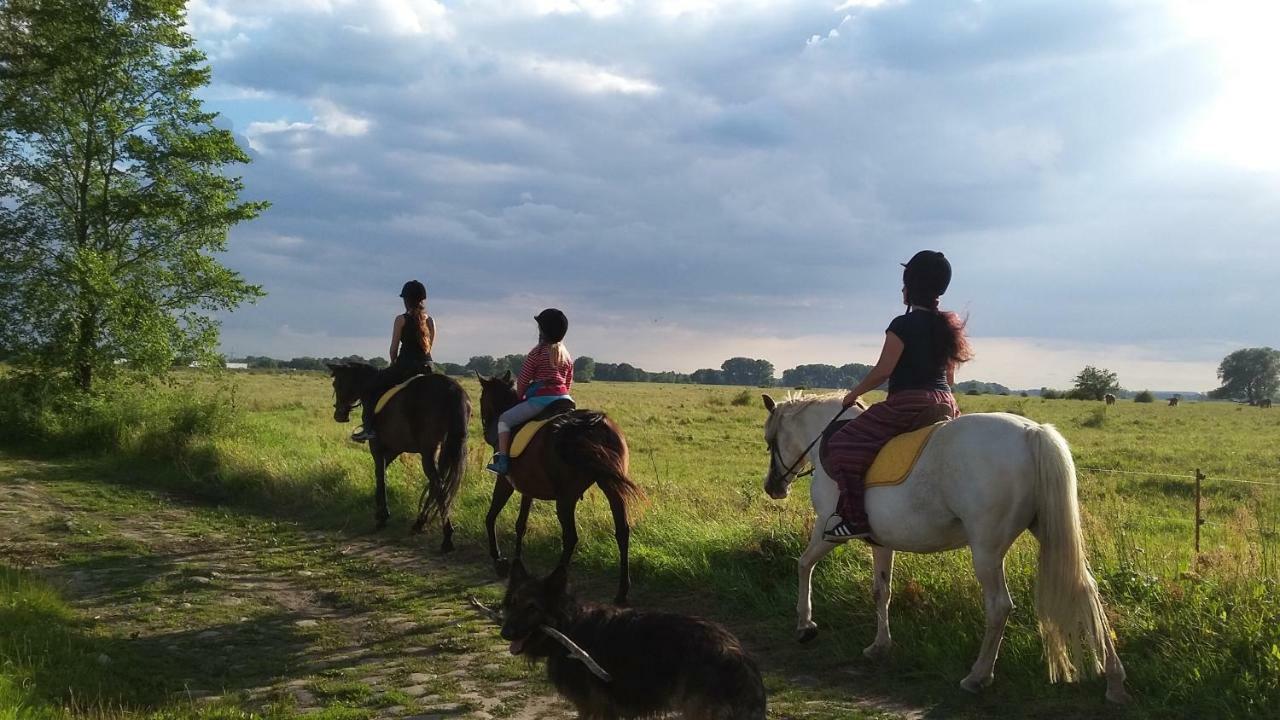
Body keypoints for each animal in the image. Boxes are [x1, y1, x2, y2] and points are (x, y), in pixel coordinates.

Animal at [330, 358, 471, 548]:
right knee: (436, 484)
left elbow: (380, 475)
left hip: (429, 450)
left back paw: (446, 537)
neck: (371, 386)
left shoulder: (377, 445)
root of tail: (452, 389)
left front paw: (382, 516)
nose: (339, 415)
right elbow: (382, 472)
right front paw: (380, 512)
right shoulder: (395, 448)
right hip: (445, 449)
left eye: (336, 383)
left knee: (438, 484)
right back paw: (420, 523)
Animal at [476, 368, 645, 599]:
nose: (487, 431)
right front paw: (517, 562)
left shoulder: (506, 481)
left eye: (481, 399)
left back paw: (554, 582)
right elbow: (521, 525)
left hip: (566, 498)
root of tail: (593, 425)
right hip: (611, 488)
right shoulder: (528, 487)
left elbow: (491, 516)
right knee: (622, 532)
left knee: (571, 537)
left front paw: (499, 560)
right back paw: (622, 590)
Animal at [499, 561, 762, 717]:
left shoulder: (593, 708)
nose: (505, 633)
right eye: (513, 603)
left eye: (532, 608)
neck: (570, 625)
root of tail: (736, 653)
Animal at [757, 392, 1131, 702]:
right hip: (1048, 532)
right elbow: (881, 591)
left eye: (770, 441)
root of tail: (1032, 432)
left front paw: (805, 624)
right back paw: (1115, 680)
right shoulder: (881, 543)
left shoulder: (827, 530)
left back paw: (978, 677)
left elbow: (803, 564)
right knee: (1085, 590)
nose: (773, 487)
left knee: (999, 606)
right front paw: (880, 646)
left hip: (987, 550)